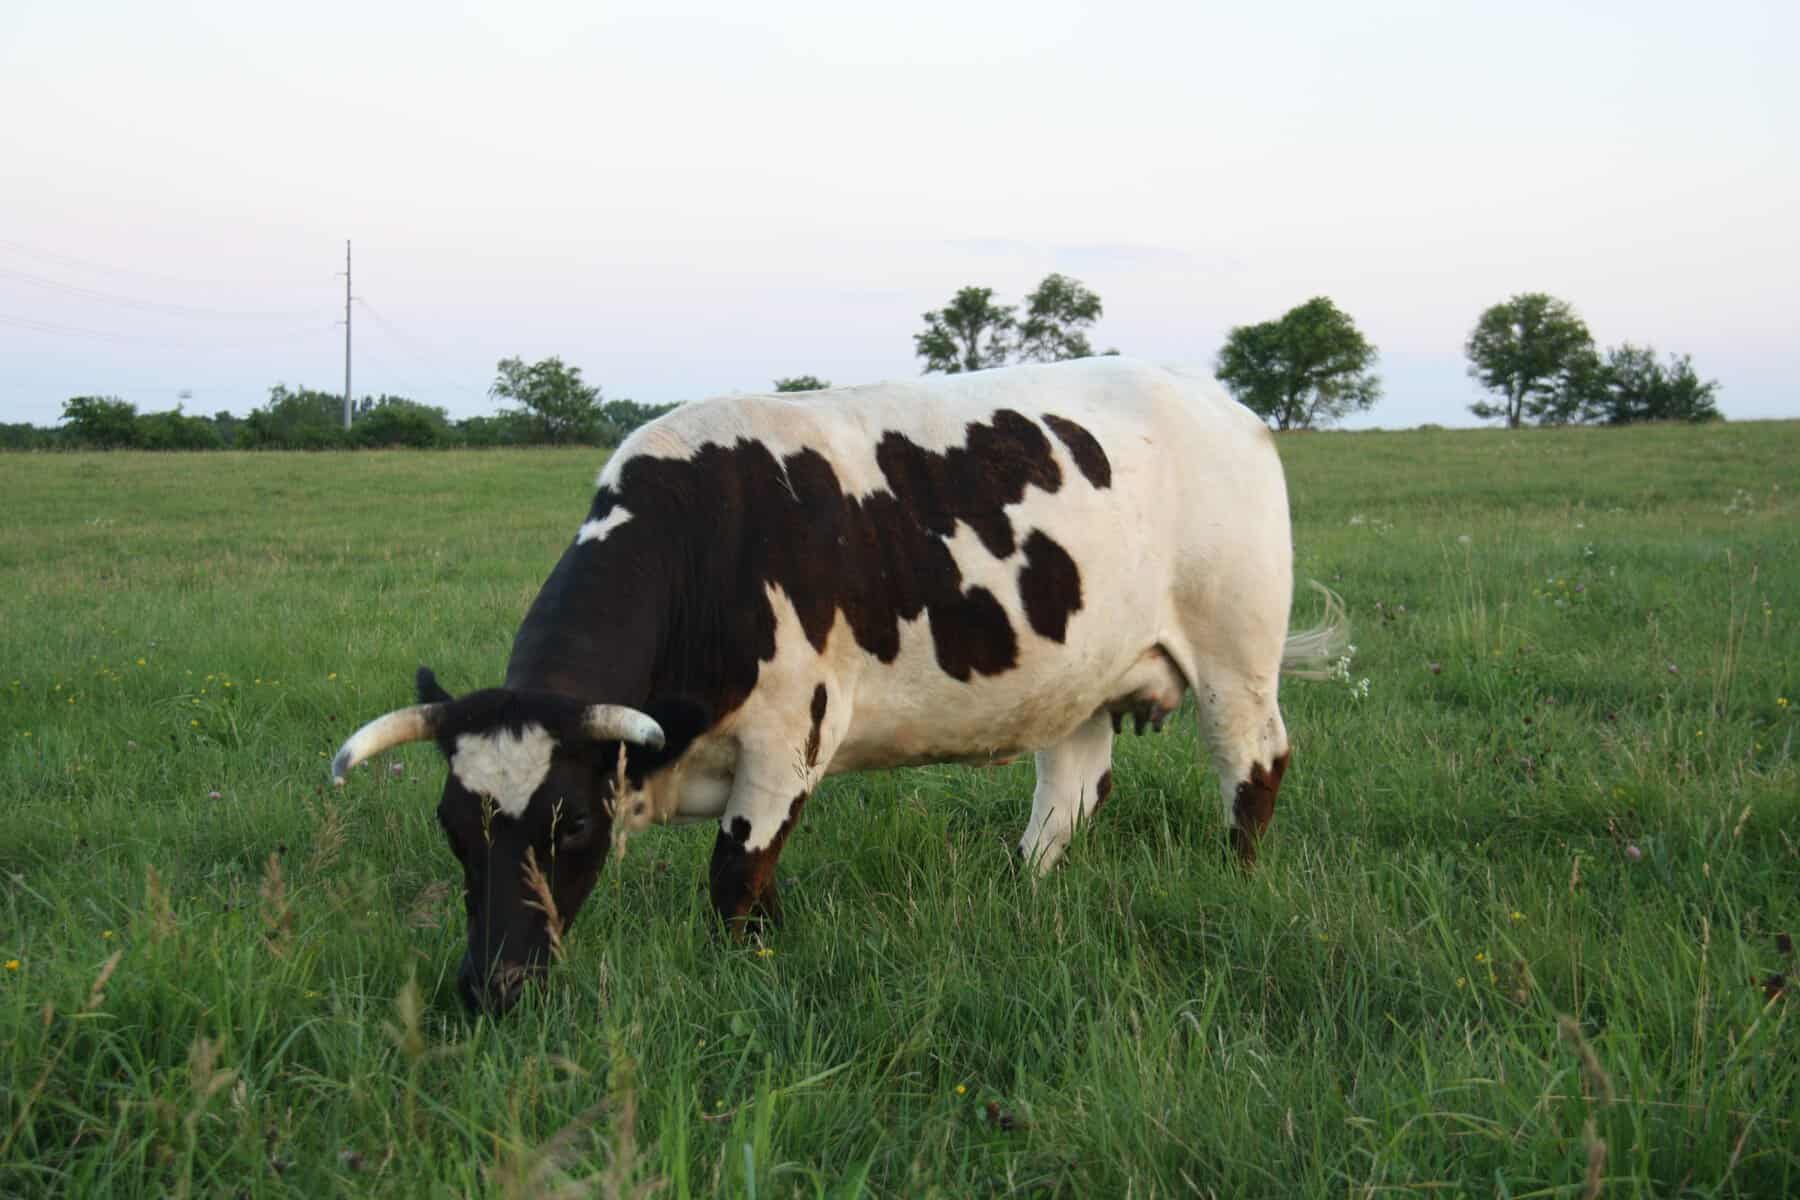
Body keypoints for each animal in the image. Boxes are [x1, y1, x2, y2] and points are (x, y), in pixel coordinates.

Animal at [331, 356, 1347, 1014]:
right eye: (453, 827)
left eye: (571, 824)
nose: (492, 990)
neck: (710, 543)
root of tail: (1223, 404)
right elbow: (754, 880)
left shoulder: (792, 736)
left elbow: (736, 874)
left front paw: (749, 972)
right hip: (1078, 672)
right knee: (1073, 788)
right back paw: (1022, 888)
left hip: (1236, 651)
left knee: (1254, 764)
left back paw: (1236, 878)